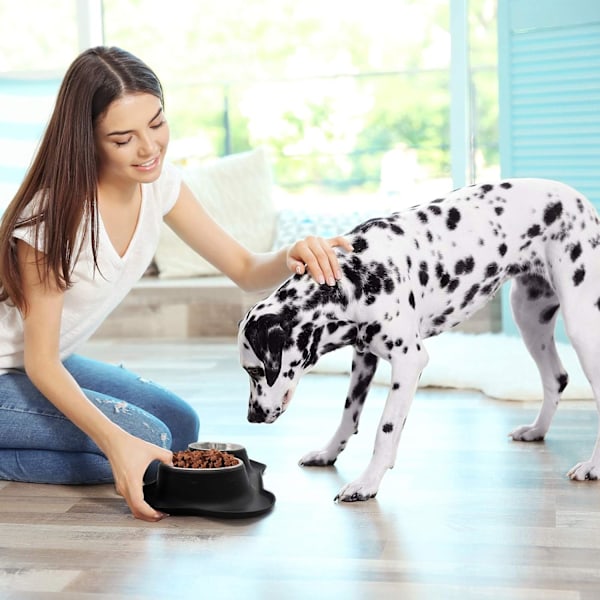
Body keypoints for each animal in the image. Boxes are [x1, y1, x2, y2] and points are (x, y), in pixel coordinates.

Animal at [237, 179, 600, 502]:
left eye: (254, 371)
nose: (252, 417)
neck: (356, 276)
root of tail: (581, 202)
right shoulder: (364, 357)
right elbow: (348, 416)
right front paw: (328, 453)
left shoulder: (408, 361)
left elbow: (385, 430)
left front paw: (367, 482)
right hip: (529, 317)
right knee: (556, 378)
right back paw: (536, 430)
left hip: (582, 328)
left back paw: (592, 466)